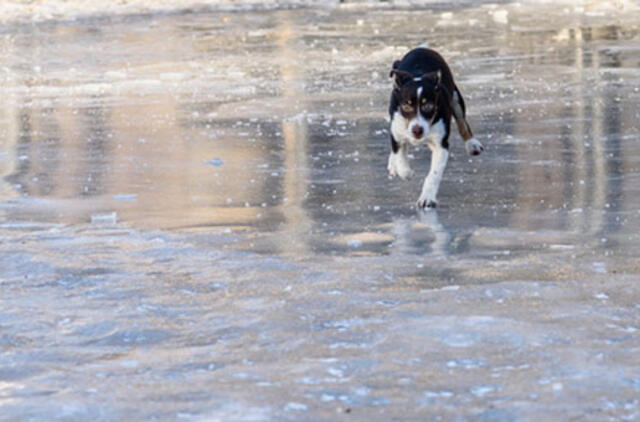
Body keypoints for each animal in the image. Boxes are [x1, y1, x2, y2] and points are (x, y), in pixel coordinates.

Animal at [384, 47, 484, 209]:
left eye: (429, 106)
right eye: (406, 106)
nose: (417, 130)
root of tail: (422, 48)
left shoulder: (441, 145)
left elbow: (434, 175)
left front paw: (427, 199)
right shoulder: (397, 133)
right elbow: (400, 156)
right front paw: (405, 171)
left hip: (455, 98)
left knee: (462, 122)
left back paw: (472, 144)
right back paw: (393, 165)